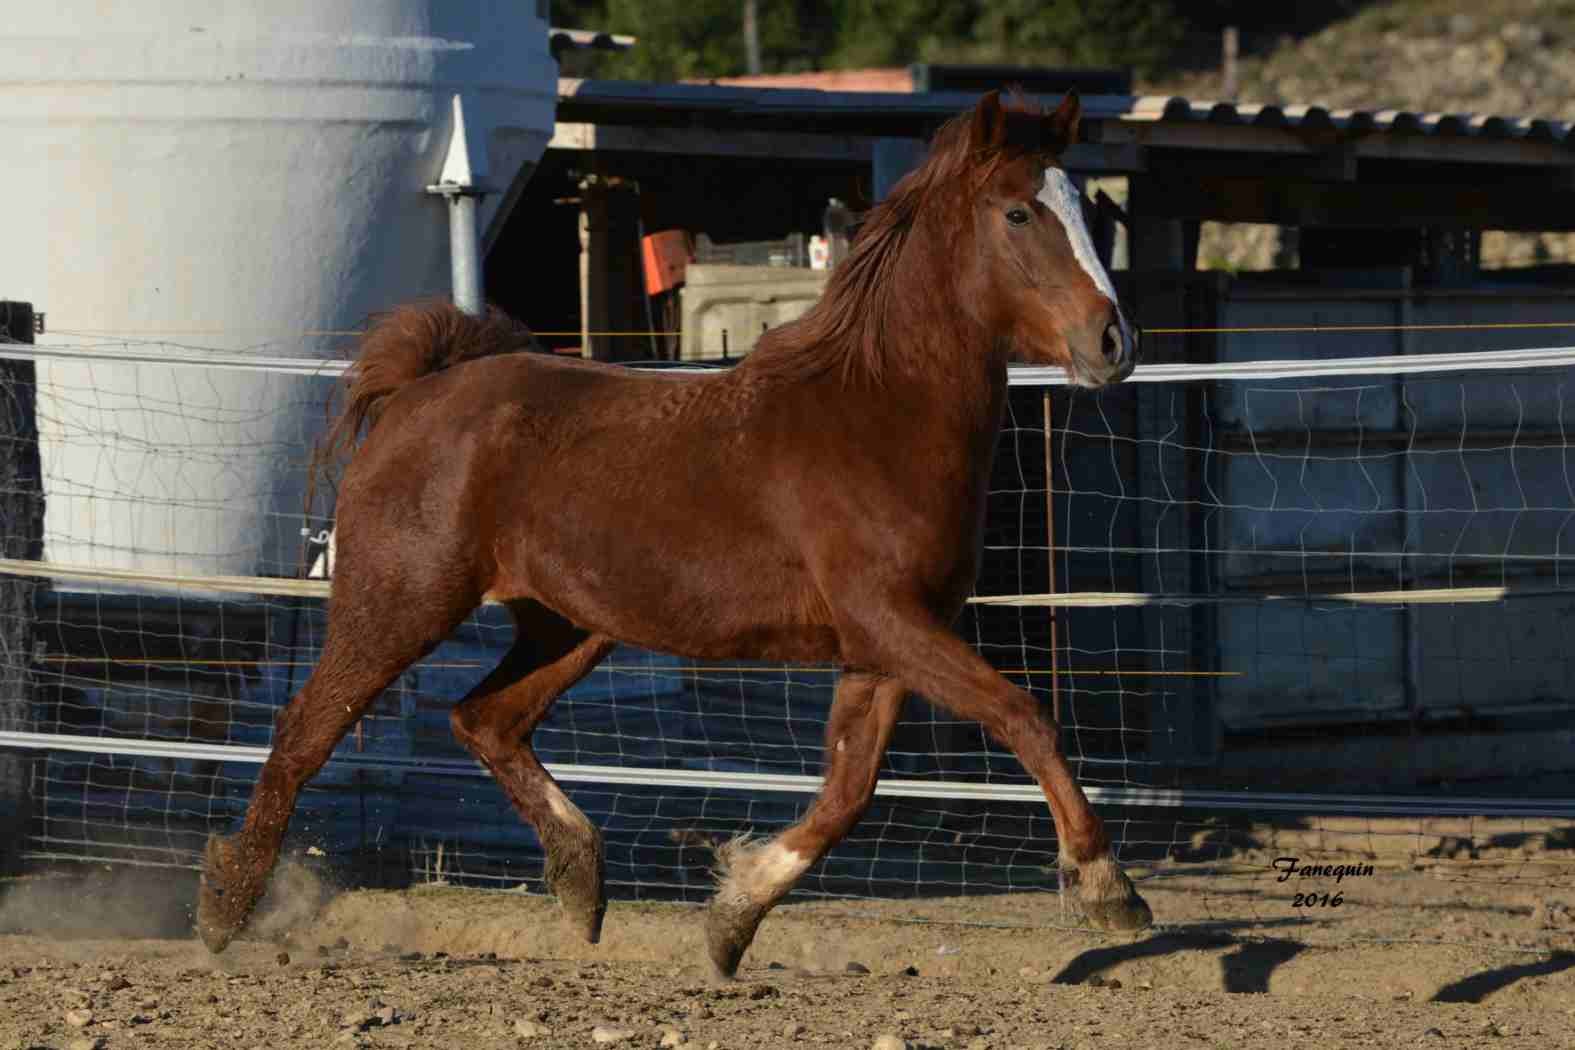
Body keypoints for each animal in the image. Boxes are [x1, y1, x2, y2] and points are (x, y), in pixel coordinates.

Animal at [203, 88, 1152, 976]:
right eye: (1019, 212)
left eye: (1085, 205)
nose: (1113, 342)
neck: (877, 414)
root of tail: (417, 392)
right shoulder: (890, 624)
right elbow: (1024, 717)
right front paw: (1109, 892)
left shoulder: (881, 649)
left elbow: (847, 792)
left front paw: (731, 918)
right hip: (401, 604)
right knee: (304, 731)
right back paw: (225, 908)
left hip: (573, 626)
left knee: (485, 721)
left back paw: (581, 883)